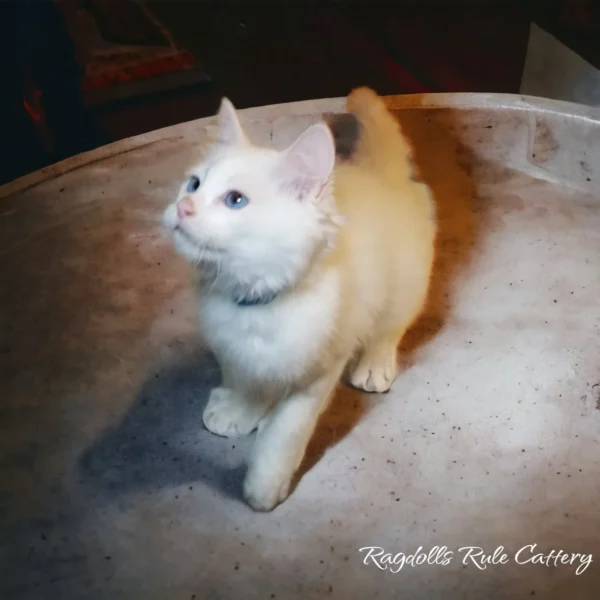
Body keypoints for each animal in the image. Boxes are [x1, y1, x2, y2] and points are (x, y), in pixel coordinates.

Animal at [164, 89, 436, 510]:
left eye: (235, 200)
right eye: (193, 184)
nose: (183, 207)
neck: (259, 300)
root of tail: (380, 174)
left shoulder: (319, 371)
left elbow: (284, 436)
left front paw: (263, 490)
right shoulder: (233, 349)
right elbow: (245, 378)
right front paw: (239, 411)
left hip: (405, 283)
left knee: (390, 327)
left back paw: (375, 364)